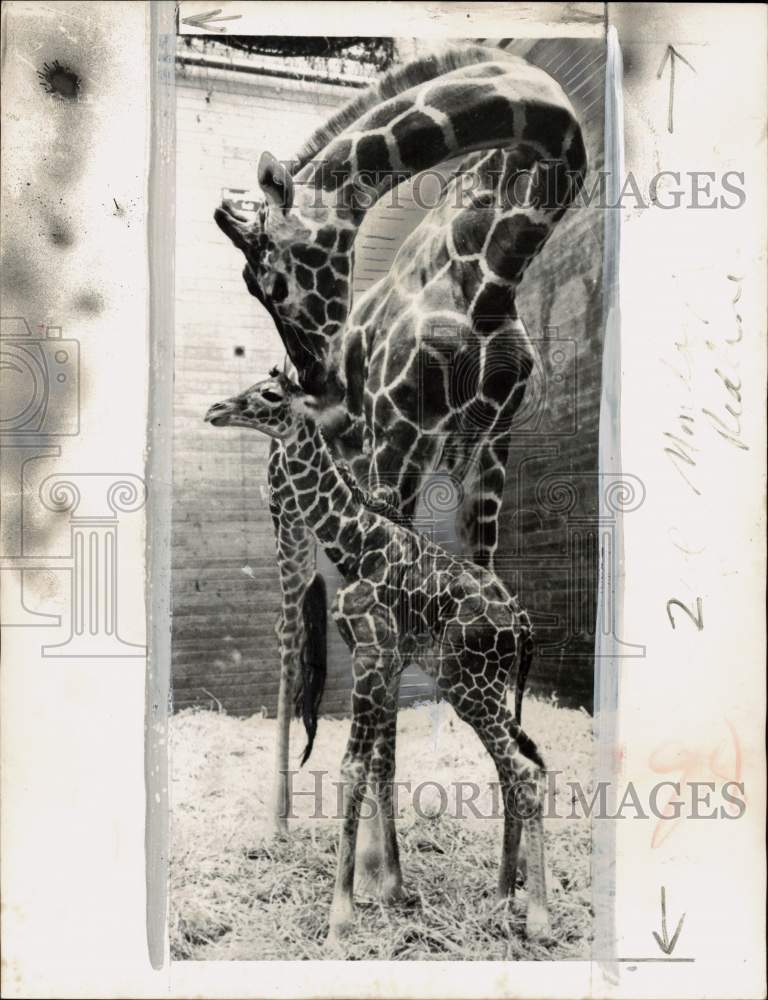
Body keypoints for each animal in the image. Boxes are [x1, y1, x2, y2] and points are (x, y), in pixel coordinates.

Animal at [205, 370, 548, 943]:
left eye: (269, 395)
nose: (215, 410)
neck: (355, 543)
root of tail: (521, 621)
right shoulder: (383, 662)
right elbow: (382, 765)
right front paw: (390, 889)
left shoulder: (370, 655)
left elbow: (351, 767)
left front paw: (340, 914)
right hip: (481, 688)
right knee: (521, 765)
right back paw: (503, 896)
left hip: (471, 685)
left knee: (524, 771)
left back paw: (538, 917)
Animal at [213, 46, 586, 836]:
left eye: (269, 277)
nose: (320, 386)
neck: (495, 267)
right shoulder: (397, 438)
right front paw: (379, 857)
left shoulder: (491, 443)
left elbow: (476, 583)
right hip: (287, 518)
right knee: (289, 634)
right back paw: (278, 823)